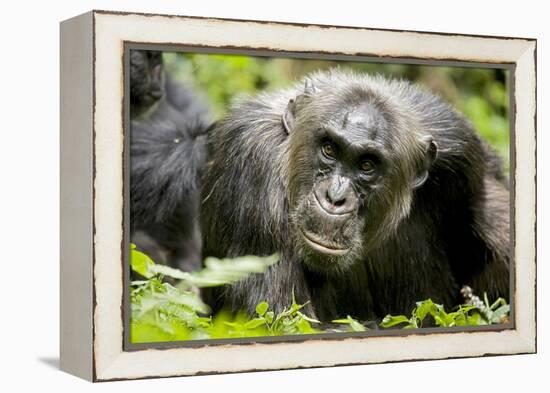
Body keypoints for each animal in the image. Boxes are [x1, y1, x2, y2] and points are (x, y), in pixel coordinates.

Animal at [201, 69, 512, 322]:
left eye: (367, 165)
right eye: (329, 149)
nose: (335, 197)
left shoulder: (461, 151)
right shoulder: (251, 164)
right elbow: (280, 316)